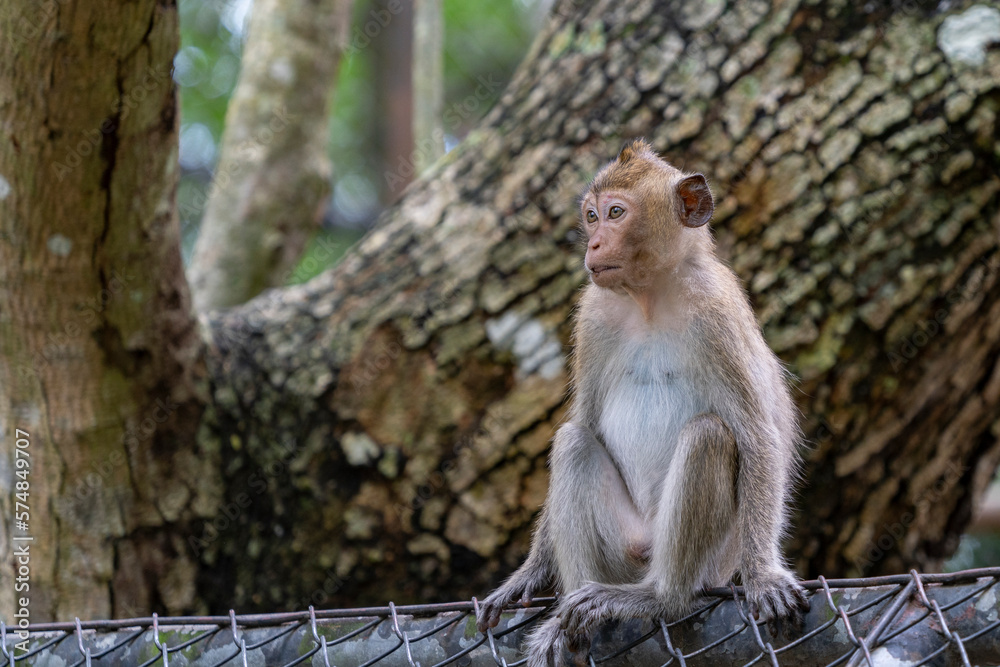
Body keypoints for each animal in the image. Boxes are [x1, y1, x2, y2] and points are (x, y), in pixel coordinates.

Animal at [472, 138, 808, 664]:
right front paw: (526, 575)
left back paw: (658, 598)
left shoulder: (717, 313)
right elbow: (586, 419)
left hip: (706, 563)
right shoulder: (593, 316)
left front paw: (763, 576)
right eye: (591, 216)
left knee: (709, 435)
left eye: (616, 212)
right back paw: (567, 621)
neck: (650, 296)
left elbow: (757, 436)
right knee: (573, 441)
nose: (592, 244)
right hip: (622, 549)